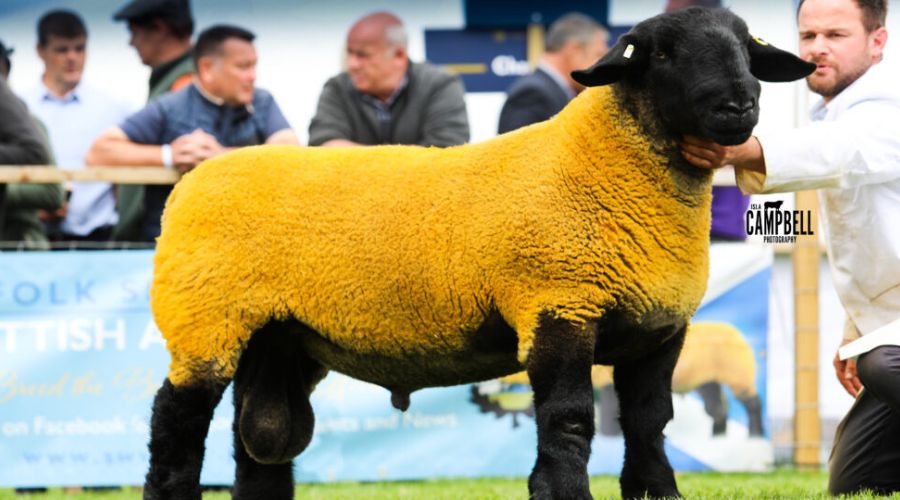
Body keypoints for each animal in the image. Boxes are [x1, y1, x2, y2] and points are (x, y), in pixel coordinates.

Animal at [144, 7, 812, 500]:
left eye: (746, 48)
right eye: (663, 52)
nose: (739, 106)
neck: (599, 167)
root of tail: (193, 182)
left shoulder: (659, 330)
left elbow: (650, 423)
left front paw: (656, 492)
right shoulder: (558, 306)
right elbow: (569, 419)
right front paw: (561, 491)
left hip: (276, 338)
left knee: (262, 438)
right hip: (203, 322)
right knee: (175, 423)